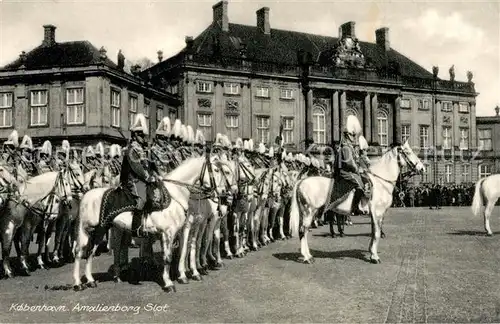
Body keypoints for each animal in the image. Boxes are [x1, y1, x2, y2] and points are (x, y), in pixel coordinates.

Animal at [72, 154, 230, 292]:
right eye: (216, 170)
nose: (223, 191)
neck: (175, 195)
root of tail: (86, 196)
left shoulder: (180, 231)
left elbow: (182, 250)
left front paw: (183, 275)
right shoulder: (169, 233)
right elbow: (169, 257)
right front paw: (169, 283)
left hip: (105, 229)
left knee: (93, 251)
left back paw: (93, 280)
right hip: (88, 229)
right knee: (81, 252)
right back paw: (78, 283)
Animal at [288, 143, 424, 264]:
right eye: (408, 152)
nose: (422, 168)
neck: (380, 182)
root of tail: (301, 181)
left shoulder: (375, 214)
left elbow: (374, 232)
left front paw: (371, 252)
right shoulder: (378, 213)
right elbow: (377, 233)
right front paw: (375, 257)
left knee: (305, 231)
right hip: (309, 212)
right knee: (303, 231)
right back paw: (307, 257)